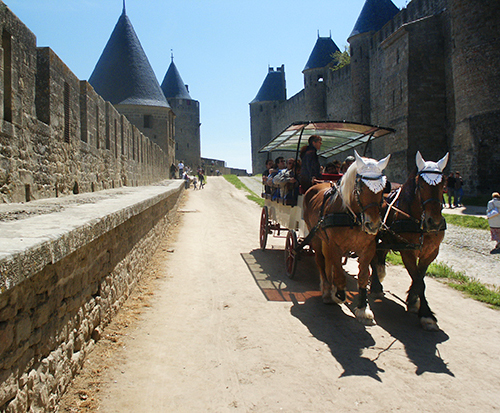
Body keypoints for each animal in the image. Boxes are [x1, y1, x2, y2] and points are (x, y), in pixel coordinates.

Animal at [300, 150, 390, 324]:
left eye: (384, 188)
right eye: (360, 187)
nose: (373, 225)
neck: (351, 217)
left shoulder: (368, 248)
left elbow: (363, 277)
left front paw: (363, 308)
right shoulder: (335, 246)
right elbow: (340, 273)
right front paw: (338, 293)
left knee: (328, 262)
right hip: (316, 237)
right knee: (320, 261)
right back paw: (327, 290)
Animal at [372, 150, 450, 330]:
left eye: (443, 184)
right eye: (421, 185)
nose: (434, 222)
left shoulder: (431, 252)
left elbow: (420, 277)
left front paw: (414, 300)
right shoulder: (407, 251)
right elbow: (419, 280)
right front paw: (427, 315)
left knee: (380, 254)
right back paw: (376, 285)